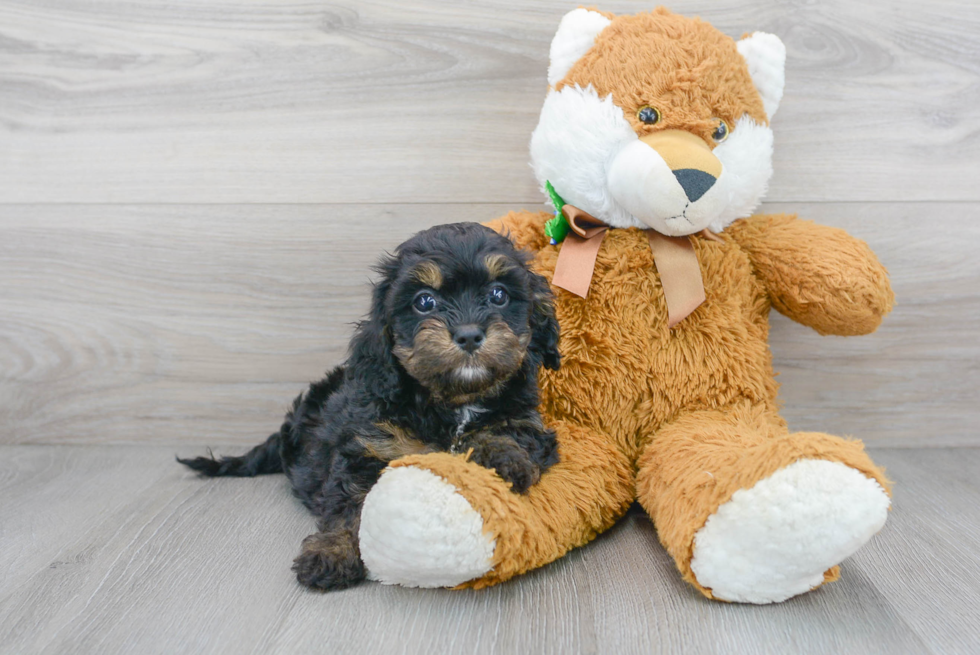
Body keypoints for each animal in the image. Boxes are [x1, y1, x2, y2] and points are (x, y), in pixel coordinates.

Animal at [176, 223, 560, 592]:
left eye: (499, 295)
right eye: (424, 301)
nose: (468, 334)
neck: (452, 401)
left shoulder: (531, 422)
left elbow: (512, 430)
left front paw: (501, 457)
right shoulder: (367, 446)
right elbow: (350, 505)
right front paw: (330, 552)